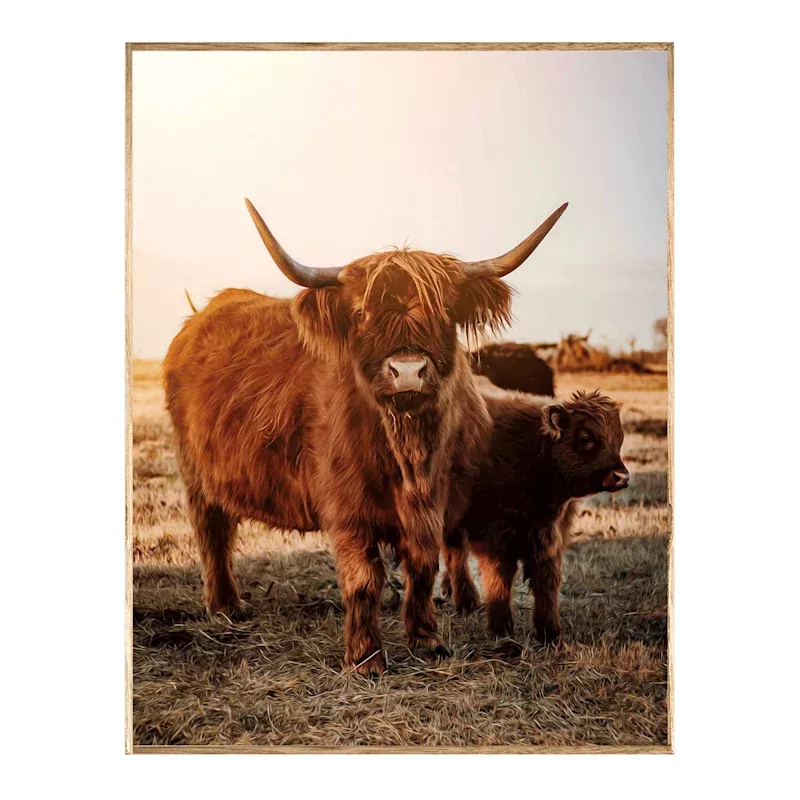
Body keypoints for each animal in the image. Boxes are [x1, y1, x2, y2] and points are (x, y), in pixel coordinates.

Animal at [163, 198, 567, 675]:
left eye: (444, 313)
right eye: (361, 315)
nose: (408, 371)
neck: (409, 452)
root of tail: (201, 316)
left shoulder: (436, 505)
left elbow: (423, 567)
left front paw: (427, 639)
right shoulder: (347, 507)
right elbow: (364, 578)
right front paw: (366, 657)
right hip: (196, 472)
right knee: (212, 531)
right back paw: (226, 606)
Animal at [441, 389, 628, 645]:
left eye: (619, 439)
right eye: (586, 438)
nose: (622, 477)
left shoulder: (549, 539)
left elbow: (546, 581)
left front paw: (550, 633)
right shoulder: (494, 539)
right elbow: (499, 578)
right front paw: (501, 629)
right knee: (455, 554)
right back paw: (466, 601)